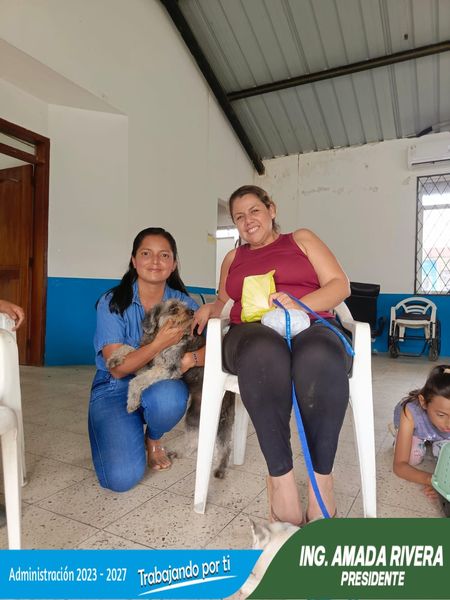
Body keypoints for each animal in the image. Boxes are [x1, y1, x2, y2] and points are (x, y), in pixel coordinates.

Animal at [106, 299, 234, 478]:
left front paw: (131, 402)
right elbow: (130, 349)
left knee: (225, 445)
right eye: (173, 308)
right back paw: (180, 453)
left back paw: (220, 469)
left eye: (186, 306)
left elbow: (136, 381)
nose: (192, 312)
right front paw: (114, 358)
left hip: (220, 417)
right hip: (194, 414)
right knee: (194, 439)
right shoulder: (147, 365)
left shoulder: (167, 368)